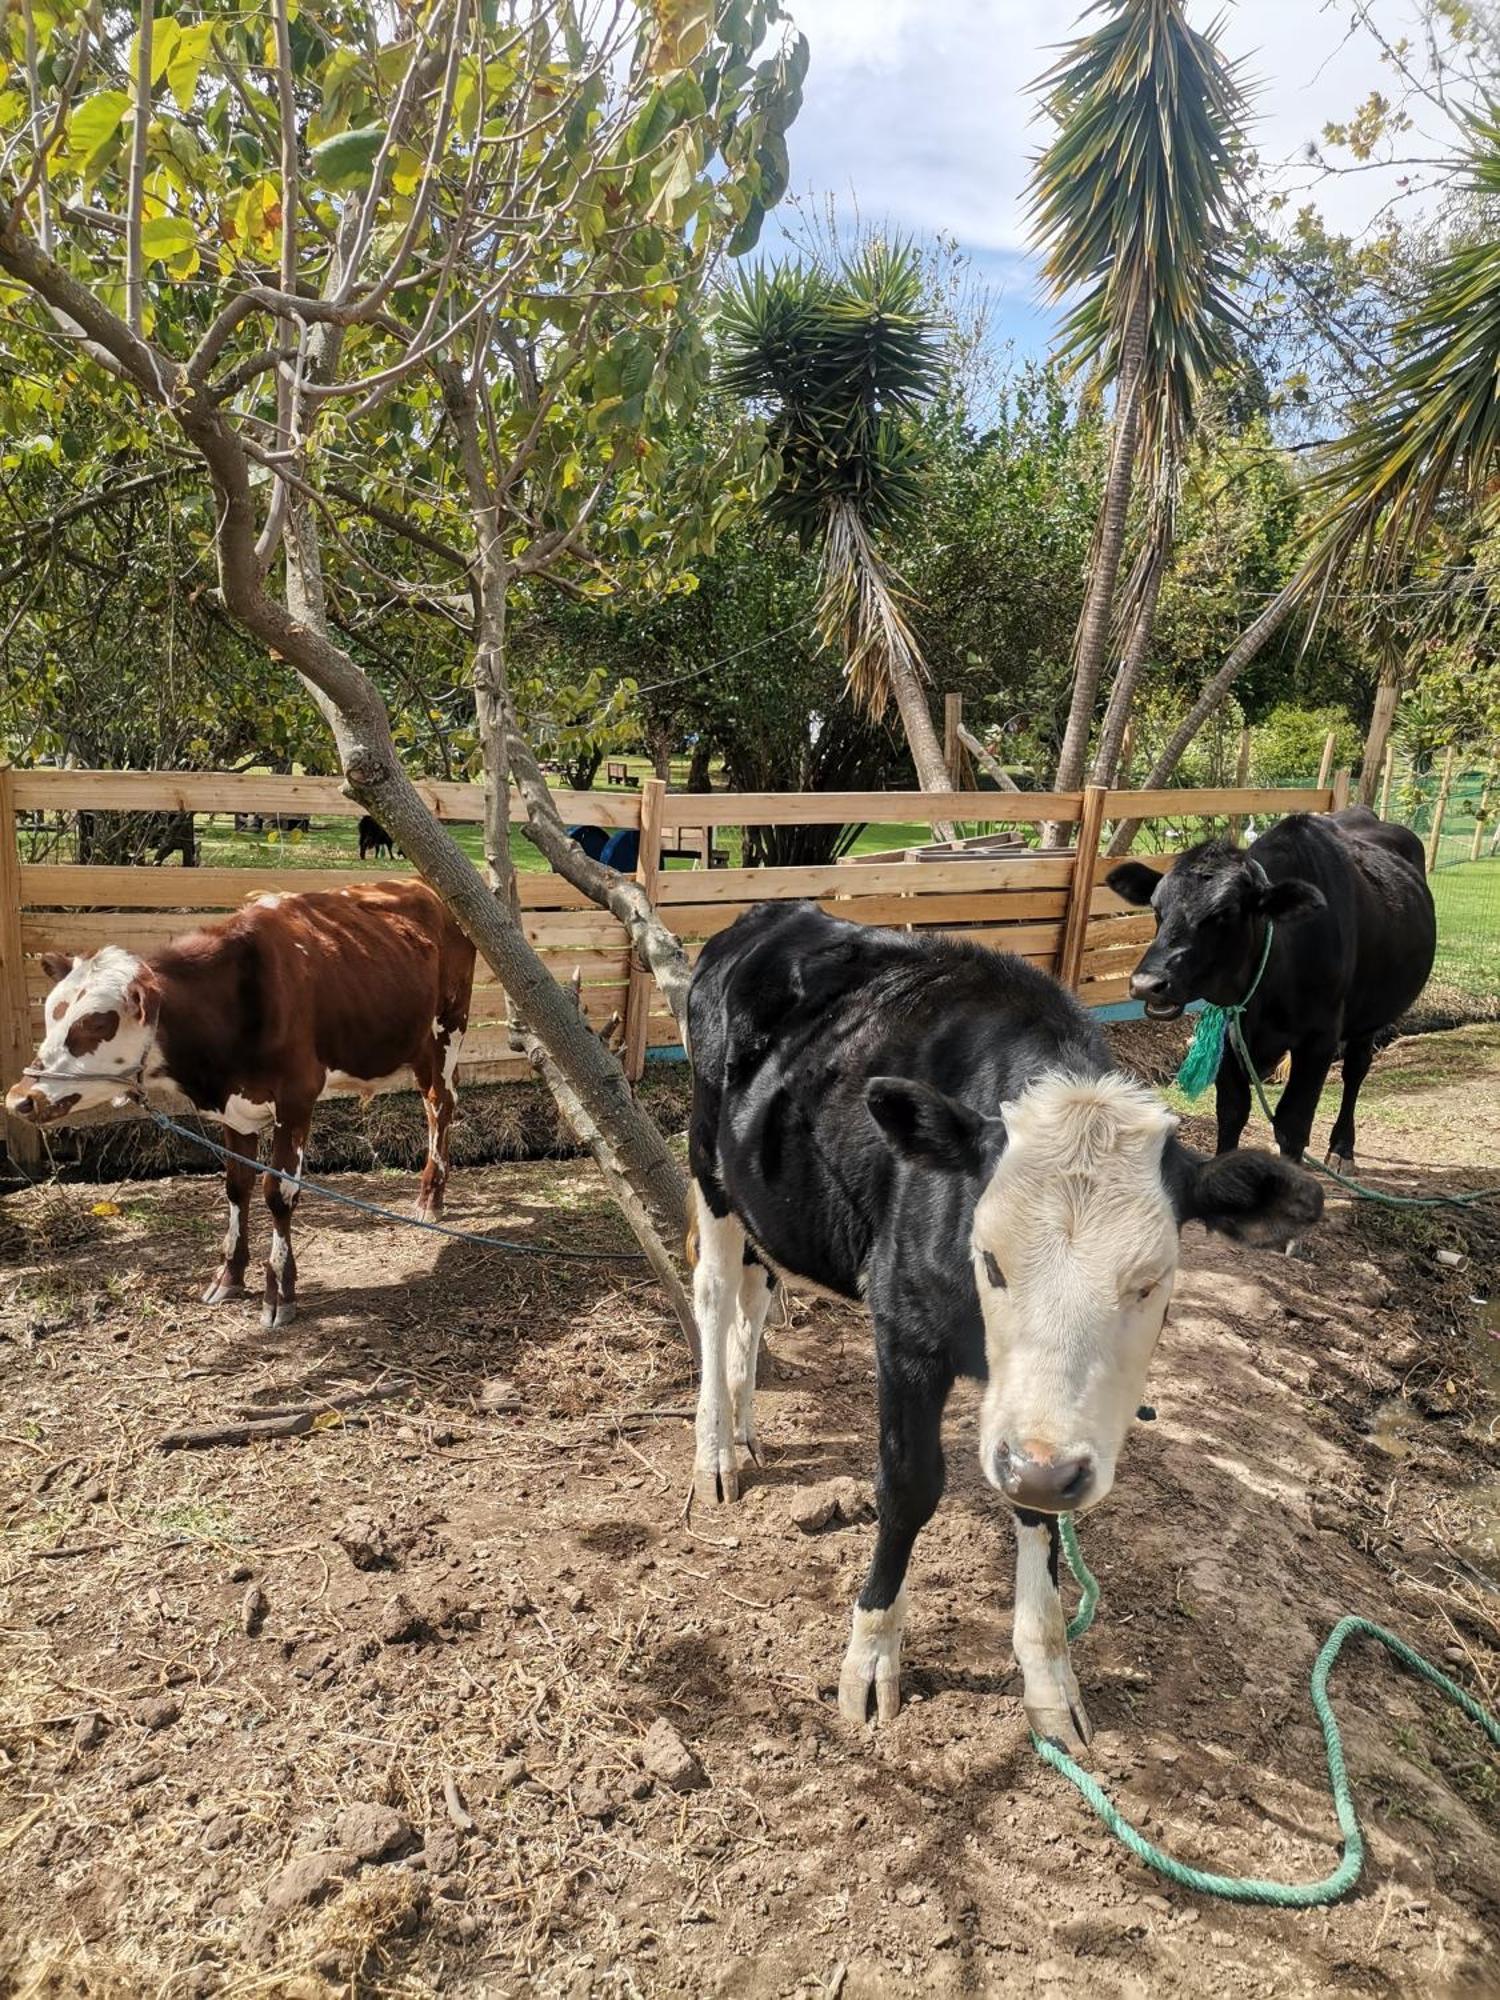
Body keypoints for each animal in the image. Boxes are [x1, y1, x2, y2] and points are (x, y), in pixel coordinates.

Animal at [5, 888, 476, 1328]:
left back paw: (429, 1197)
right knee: (433, 1104)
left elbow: (278, 1194)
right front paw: (228, 1275)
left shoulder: (296, 1099)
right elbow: (237, 1186)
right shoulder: (235, 1109)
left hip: (447, 1029)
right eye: (51, 1015)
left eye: (97, 1022)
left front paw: (279, 1291)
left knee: (440, 1106)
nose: (19, 1098)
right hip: (417, 1045)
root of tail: (424, 889)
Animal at [688, 908, 1320, 1752]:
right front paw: (871, 1659)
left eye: (1151, 1281)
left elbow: (1038, 1513)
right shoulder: (904, 1332)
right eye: (989, 1259)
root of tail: (774, 915)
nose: (1044, 1467)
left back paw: (749, 1428)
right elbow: (908, 1486)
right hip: (709, 1166)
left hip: (772, 1205)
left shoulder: (1044, 1432)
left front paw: (1051, 1681)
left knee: (758, 1298)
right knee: (716, 1294)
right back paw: (717, 1451)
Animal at [1112, 804, 1440, 1168]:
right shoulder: (1228, 1032)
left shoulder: (1319, 1040)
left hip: (1370, 1017)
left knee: (1355, 1071)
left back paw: (1342, 1148)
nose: (1147, 983)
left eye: (1225, 913)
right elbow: (1232, 1112)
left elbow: (1292, 1123)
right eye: (1157, 909)